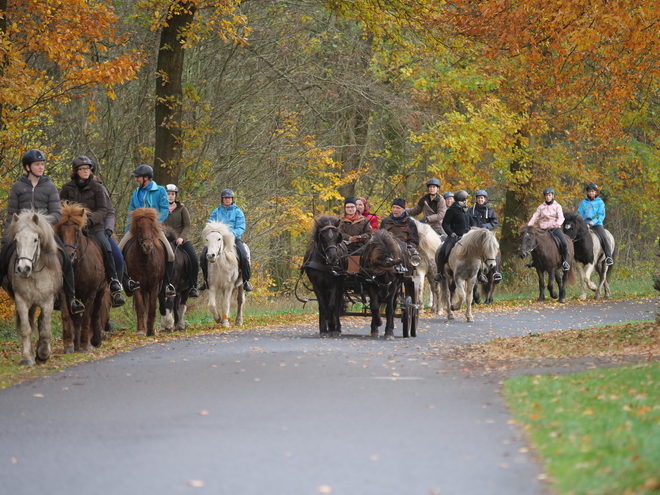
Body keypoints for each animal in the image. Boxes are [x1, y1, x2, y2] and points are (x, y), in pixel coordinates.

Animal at [1, 211, 62, 366]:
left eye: (35, 240)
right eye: (16, 240)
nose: (23, 269)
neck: (34, 275)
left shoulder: (48, 302)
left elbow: (45, 329)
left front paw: (44, 354)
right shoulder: (22, 301)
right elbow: (26, 329)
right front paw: (26, 358)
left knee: (41, 323)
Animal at [54, 203, 107, 354]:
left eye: (77, 231)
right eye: (60, 232)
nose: (69, 255)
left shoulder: (91, 293)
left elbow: (87, 317)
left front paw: (84, 345)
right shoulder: (64, 293)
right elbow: (67, 317)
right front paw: (69, 345)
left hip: (101, 290)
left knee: (95, 313)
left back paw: (94, 340)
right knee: (77, 318)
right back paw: (77, 343)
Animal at [124, 209, 166, 338]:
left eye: (152, 226)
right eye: (138, 227)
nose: (147, 246)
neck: (145, 260)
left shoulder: (154, 286)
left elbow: (152, 308)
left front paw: (151, 330)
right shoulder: (137, 285)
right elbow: (141, 307)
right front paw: (141, 330)